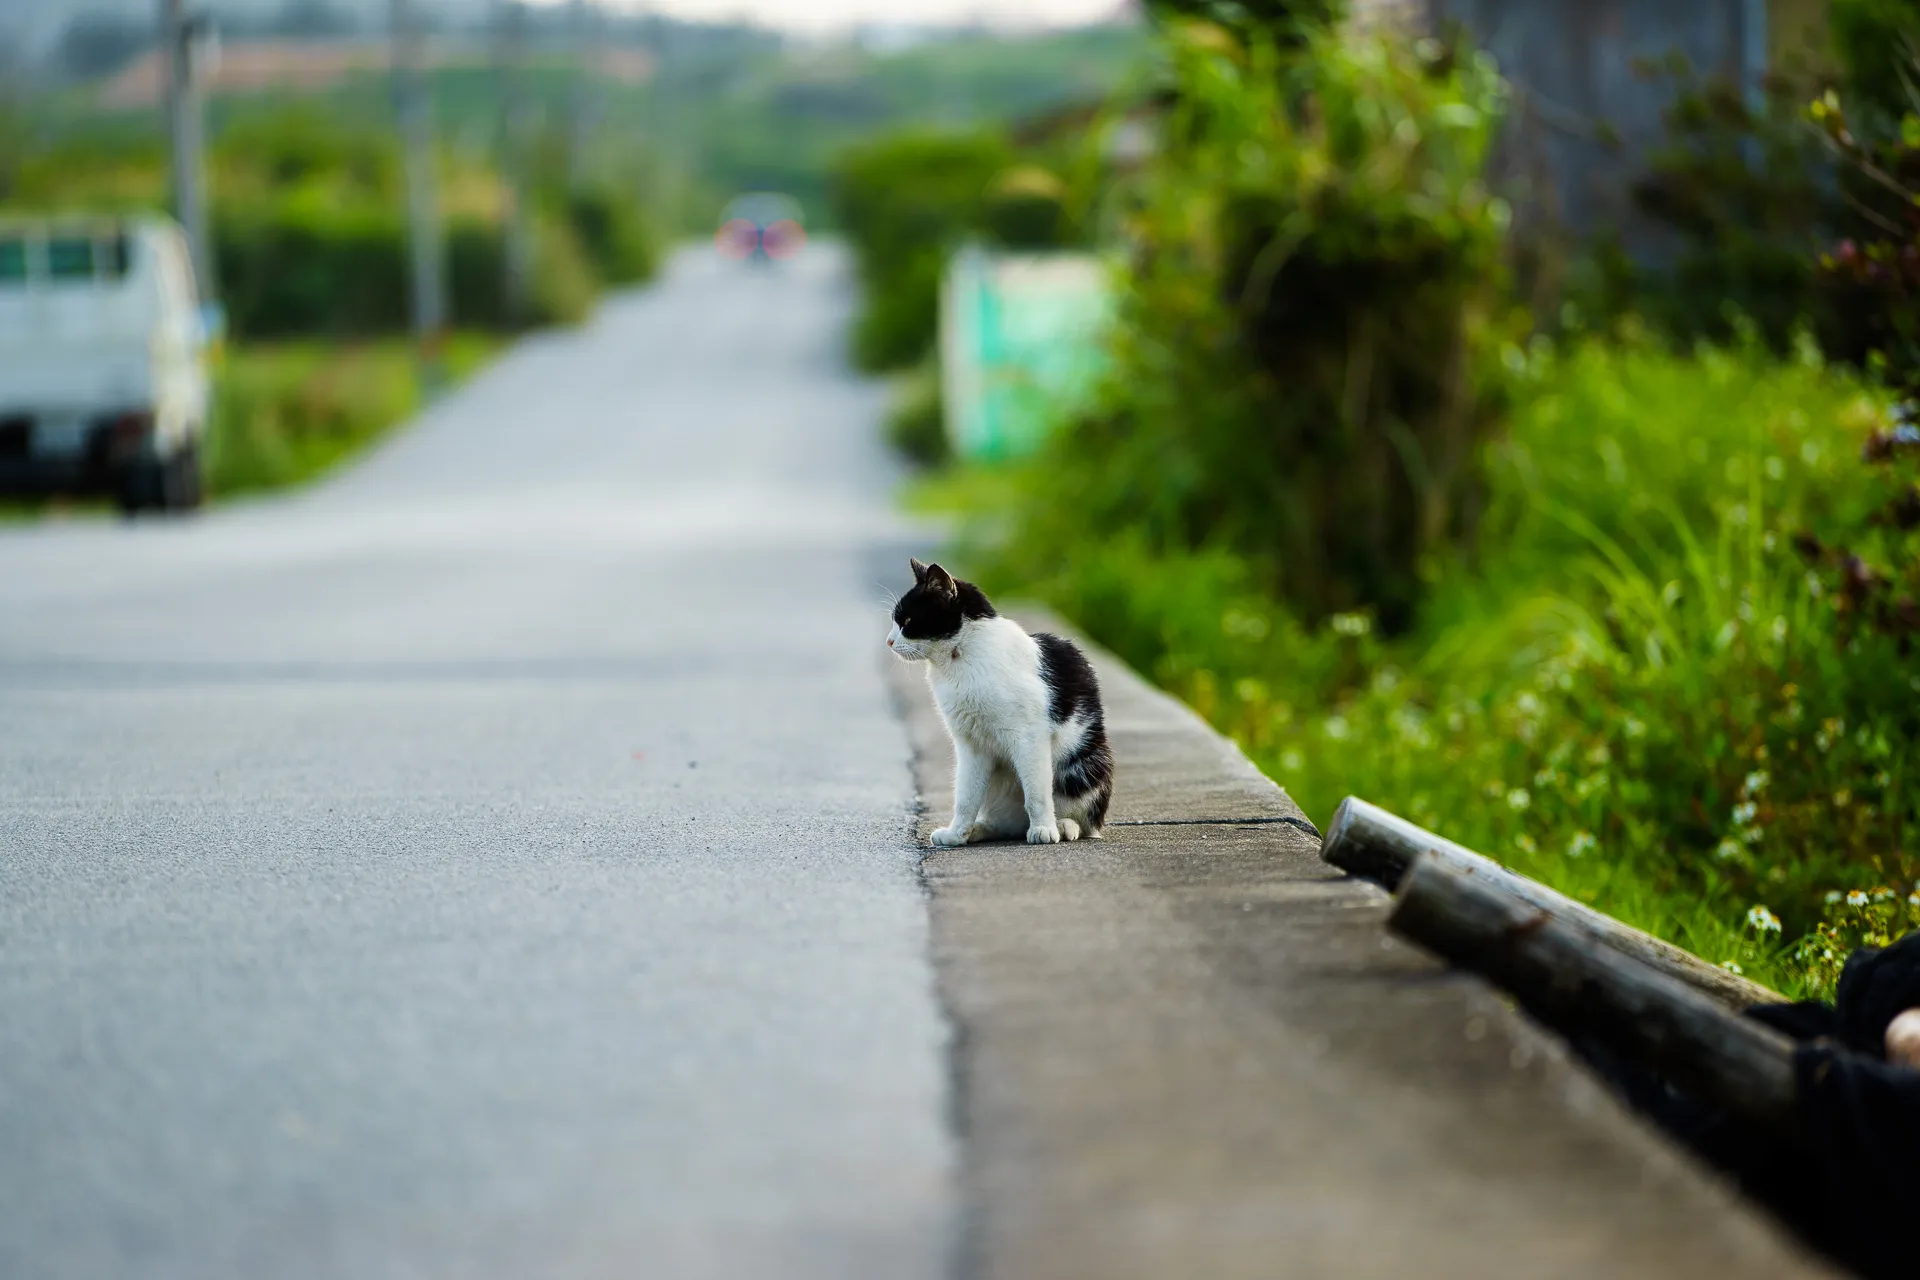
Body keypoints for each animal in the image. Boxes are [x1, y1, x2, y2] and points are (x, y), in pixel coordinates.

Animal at [883, 556, 1113, 840]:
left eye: (908, 621)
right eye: (896, 621)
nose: (889, 641)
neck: (960, 659)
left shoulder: (1029, 738)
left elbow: (1037, 794)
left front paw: (1044, 828)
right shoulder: (970, 746)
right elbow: (965, 797)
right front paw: (956, 833)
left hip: (1084, 767)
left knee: (1085, 822)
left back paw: (1061, 826)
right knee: (1004, 822)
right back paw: (978, 830)